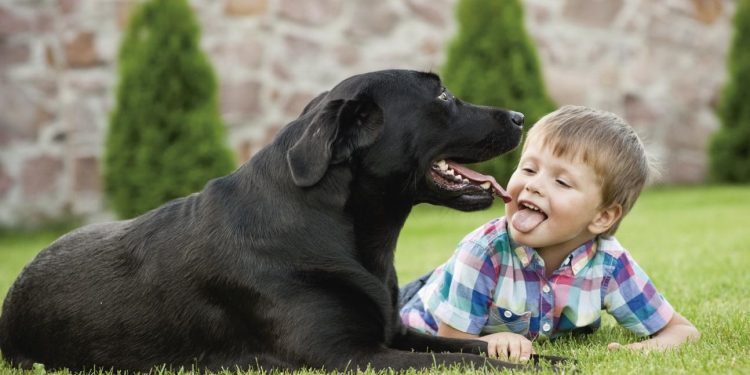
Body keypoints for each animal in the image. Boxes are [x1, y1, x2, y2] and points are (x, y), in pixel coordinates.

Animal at [0, 70, 560, 374]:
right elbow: (470, 360)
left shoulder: (395, 332)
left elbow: (471, 347)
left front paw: (547, 358)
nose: (518, 116)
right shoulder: (348, 356)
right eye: (441, 96)